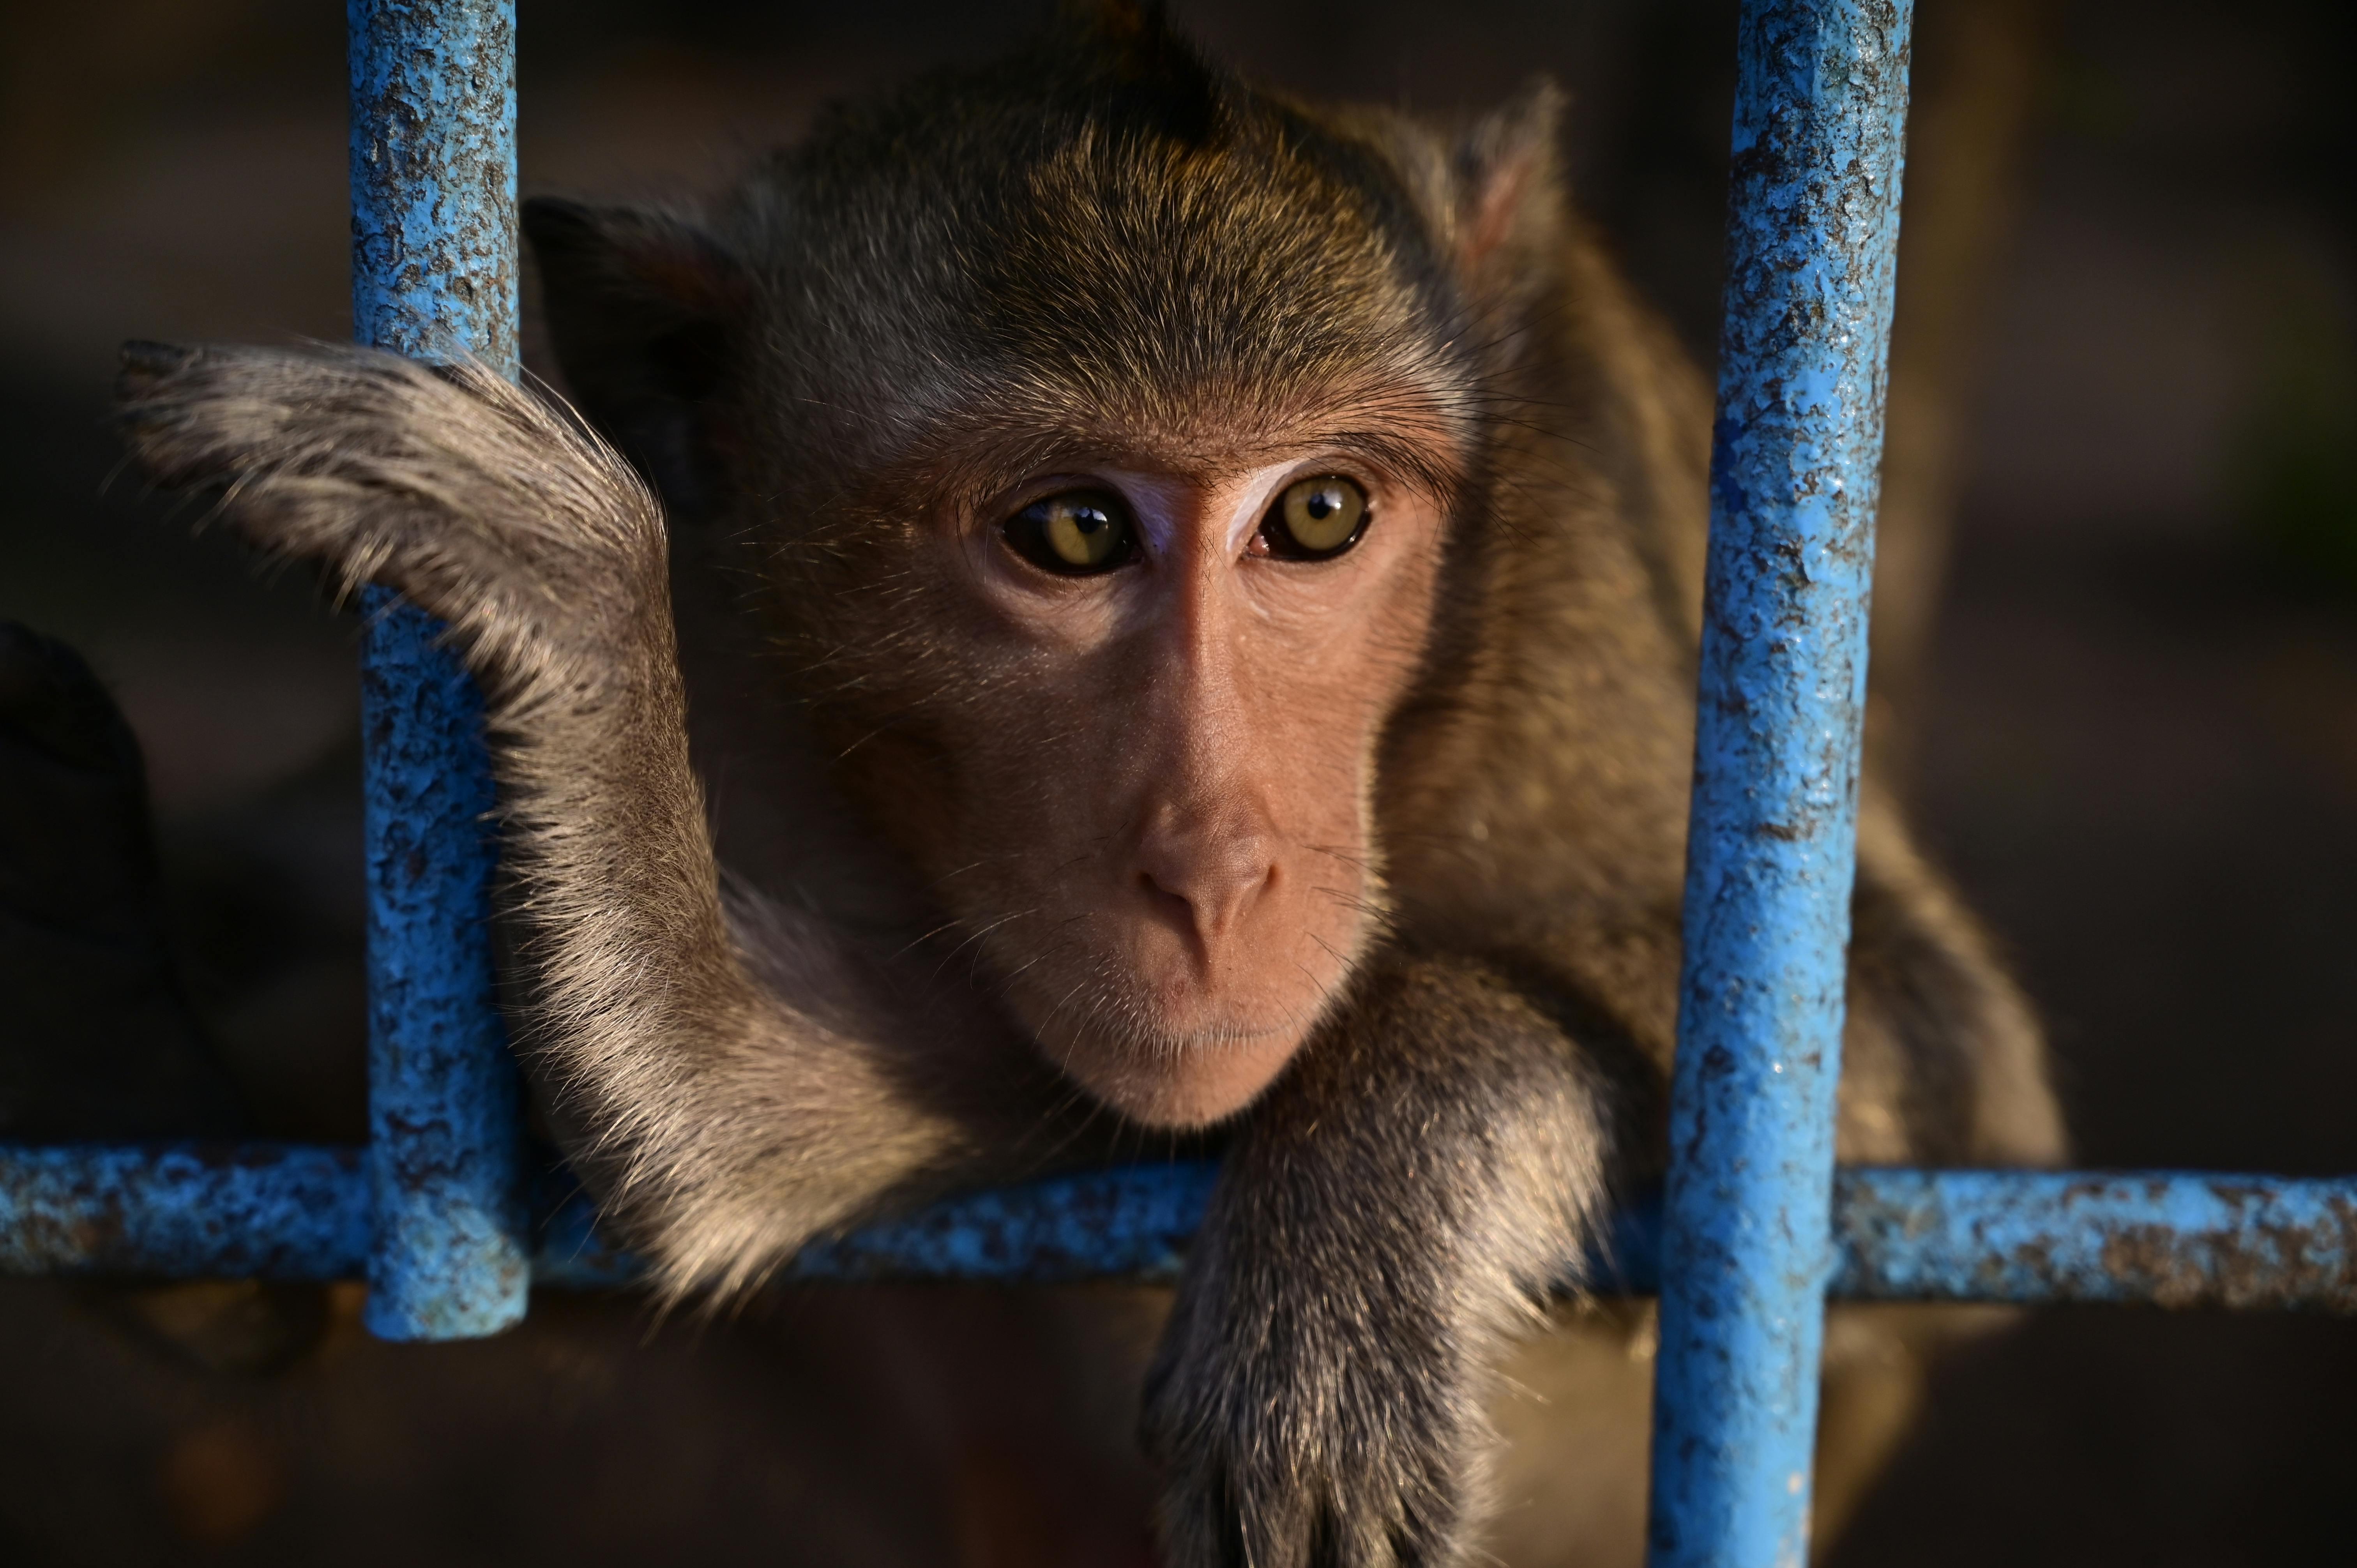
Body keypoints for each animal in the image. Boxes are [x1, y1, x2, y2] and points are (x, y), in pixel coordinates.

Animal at [108, 5, 2064, 1563]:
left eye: (1321, 514)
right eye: (1069, 533)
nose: (1213, 868)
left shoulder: (1602, 551)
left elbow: (1925, 1070)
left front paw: (1369, 1174)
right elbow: (759, 1130)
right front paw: (572, 621)